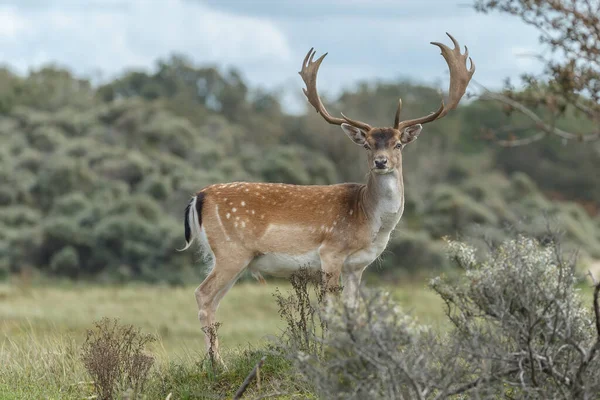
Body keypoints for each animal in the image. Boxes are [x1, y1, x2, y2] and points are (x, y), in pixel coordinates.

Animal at [180, 32, 476, 360]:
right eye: (368, 144)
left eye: (398, 144)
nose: (381, 162)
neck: (368, 220)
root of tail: (199, 197)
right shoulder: (330, 253)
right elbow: (330, 310)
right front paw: (331, 353)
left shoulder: (357, 266)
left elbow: (354, 312)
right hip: (231, 251)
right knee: (202, 294)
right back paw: (216, 363)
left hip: (233, 259)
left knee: (213, 300)